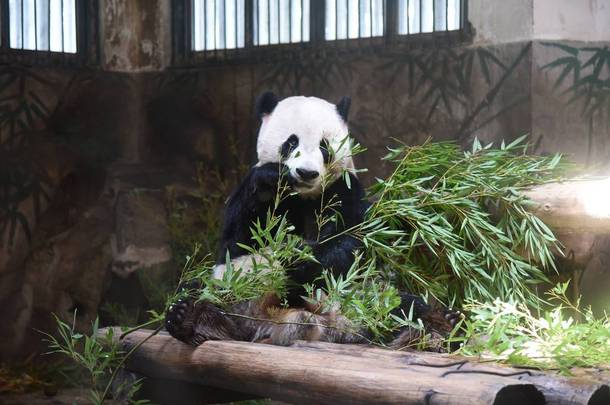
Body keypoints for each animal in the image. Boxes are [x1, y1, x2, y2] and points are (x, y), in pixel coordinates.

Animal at [164, 91, 458, 348]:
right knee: (200, 292)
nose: (306, 172)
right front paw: (272, 183)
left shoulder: (345, 190)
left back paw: (442, 326)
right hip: (234, 289)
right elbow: (236, 240)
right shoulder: (252, 196)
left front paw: (298, 260)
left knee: (404, 306)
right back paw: (186, 317)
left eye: (324, 146)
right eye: (291, 142)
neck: (304, 196)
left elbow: (353, 242)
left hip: (362, 297)